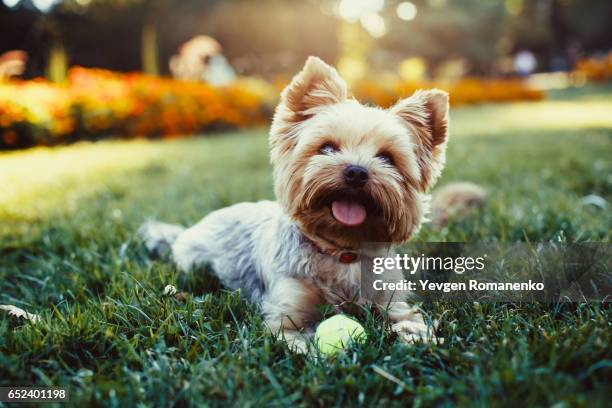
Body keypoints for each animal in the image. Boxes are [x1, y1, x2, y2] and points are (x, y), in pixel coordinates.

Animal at [141, 55, 452, 352]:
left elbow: (409, 320)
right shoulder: (288, 313)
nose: (356, 172)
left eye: (387, 158)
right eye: (327, 147)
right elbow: (299, 340)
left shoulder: (392, 301)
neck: (341, 252)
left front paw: (416, 338)